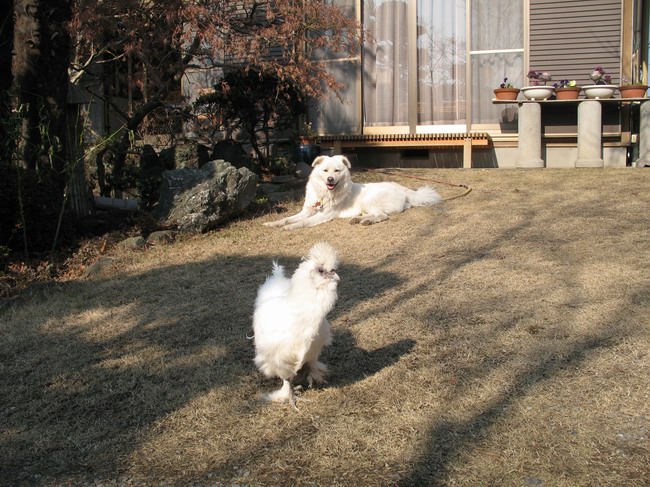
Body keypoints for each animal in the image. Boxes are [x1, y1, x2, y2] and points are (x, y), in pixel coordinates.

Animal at [264, 155, 442, 230]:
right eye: (325, 170)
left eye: (337, 171)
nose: (330, 179)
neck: (325, 194)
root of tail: (402, 188)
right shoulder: (307, 210)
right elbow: (287, 218)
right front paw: (274, 223)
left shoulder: (323, 215)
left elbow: (303, 222)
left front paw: (291, 227)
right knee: (374, 214)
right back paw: (358, 219)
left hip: (368, 201)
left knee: (382, 216)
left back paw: (366, 222)